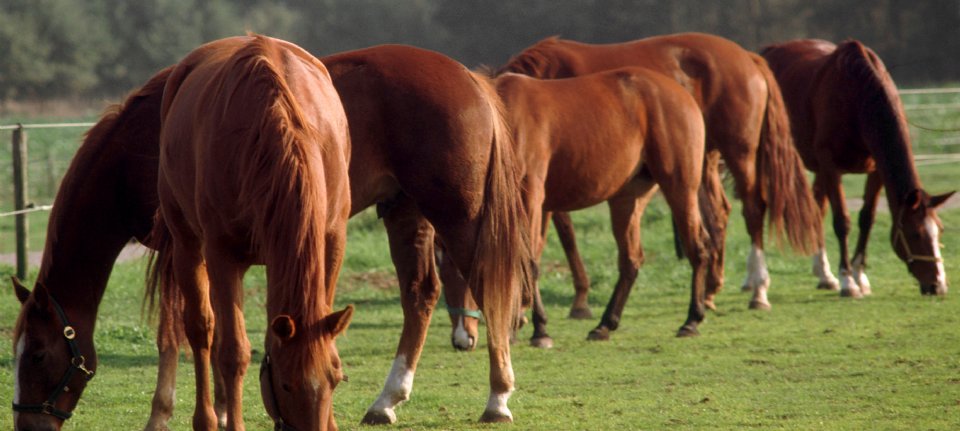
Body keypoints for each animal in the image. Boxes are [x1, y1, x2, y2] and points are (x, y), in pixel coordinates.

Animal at [152, 35, 354, 430]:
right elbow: (233, 352)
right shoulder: (222, 254)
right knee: (203, 330)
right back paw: (208, 416)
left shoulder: (331, 241)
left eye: (336, 379)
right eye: (287, 385)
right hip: (188, 245)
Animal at [444, 32, 820, 348]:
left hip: (689, 180)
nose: (462, 338)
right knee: (633, 259)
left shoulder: (532, 197)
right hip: (629, 197)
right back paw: (606, 323)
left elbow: (531, 258)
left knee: (706, 240)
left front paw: (538, 328)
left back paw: (698, 316)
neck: (505, 121)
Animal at [760, 39, 954, 297]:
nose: (938, 285)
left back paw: (824, 274)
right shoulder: (831, 166)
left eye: (939, 230)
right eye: (915, 234)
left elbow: (866, 219)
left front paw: (859, 275)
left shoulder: (875, 170)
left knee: (817, 208)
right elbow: (842, 221)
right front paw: (848, 281)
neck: (857, 98)